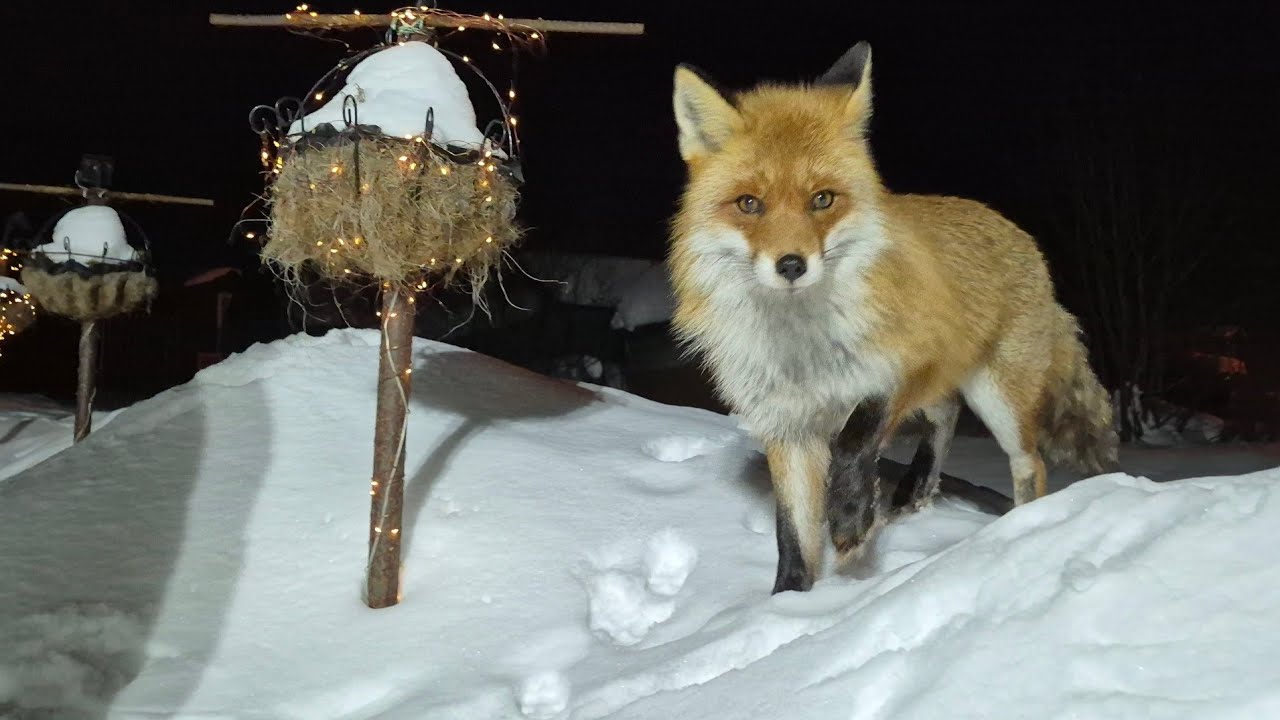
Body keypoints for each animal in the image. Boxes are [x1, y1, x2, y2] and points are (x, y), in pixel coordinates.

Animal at [668, 42, 1119, 594]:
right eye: (749, 204)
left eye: (823, 199)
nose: (791, 265)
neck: (803, 346)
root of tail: (1020, 234)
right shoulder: (787, 424)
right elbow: (792, 533)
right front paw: (787, 604)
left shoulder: (909, 360)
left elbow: (856, 437)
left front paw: (850, 518)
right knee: (946, 413)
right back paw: (917, 488)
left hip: (998, 398)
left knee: (1025, 461)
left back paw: (1017, 529)